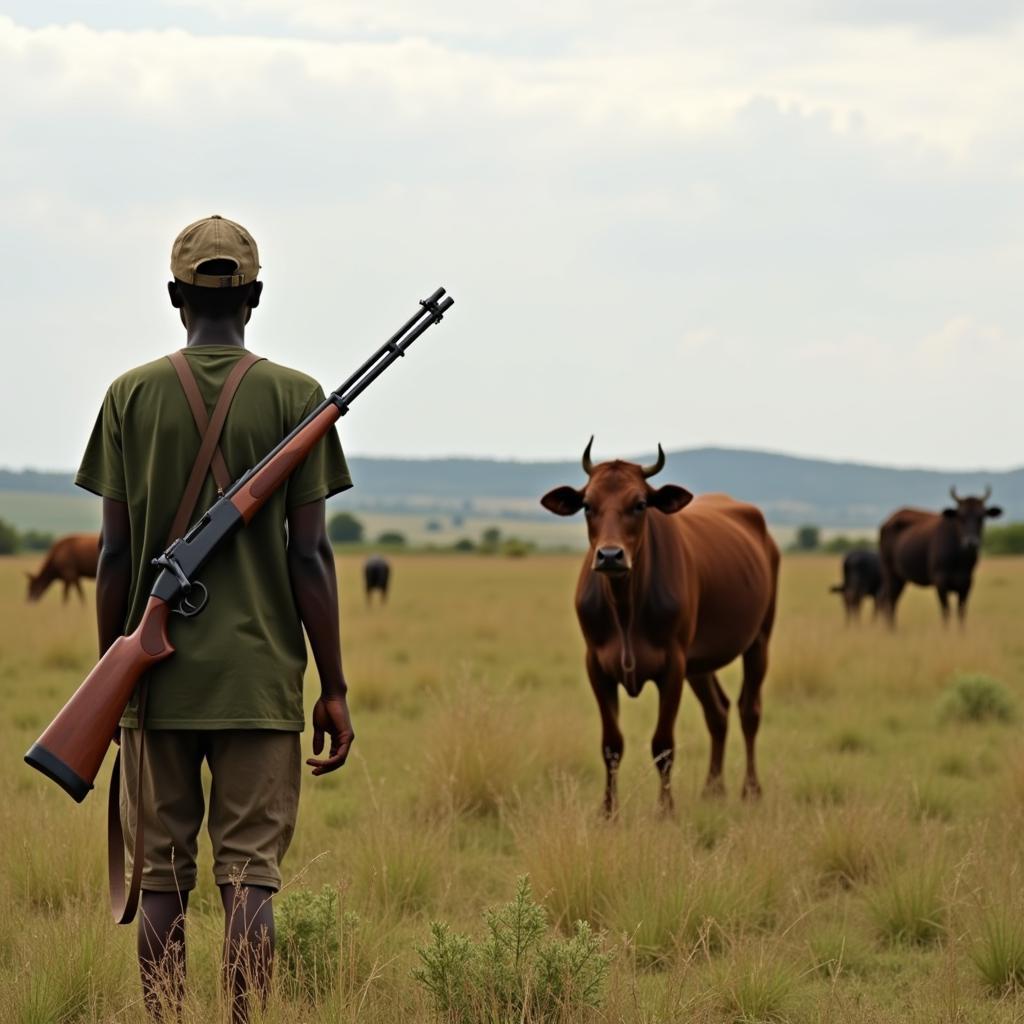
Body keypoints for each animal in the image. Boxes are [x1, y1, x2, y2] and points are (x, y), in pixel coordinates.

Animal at [544, 440, 774, 815]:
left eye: (640, 504)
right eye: (588, 505)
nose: (610, 555)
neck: (625, 606)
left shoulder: (673, 666)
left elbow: (663, 745)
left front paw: (666, 810)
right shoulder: (597, 666)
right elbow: (611, 745)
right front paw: (608, 811)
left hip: (759, 641)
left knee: (748, 711)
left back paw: (751, 790)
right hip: (700, 663)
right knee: (718, 712)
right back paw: (713, 789)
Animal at [876, 485, 1003, 626]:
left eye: (981, 517)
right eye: (961, 516)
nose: (971, 542)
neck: (959, 558)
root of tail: (887, 522)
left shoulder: (967, 583)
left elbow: (961, 613)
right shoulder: (940, 582)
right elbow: (946, 611)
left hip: (900, 578)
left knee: (886, 599)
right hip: (890, 573)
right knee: (889, 600)